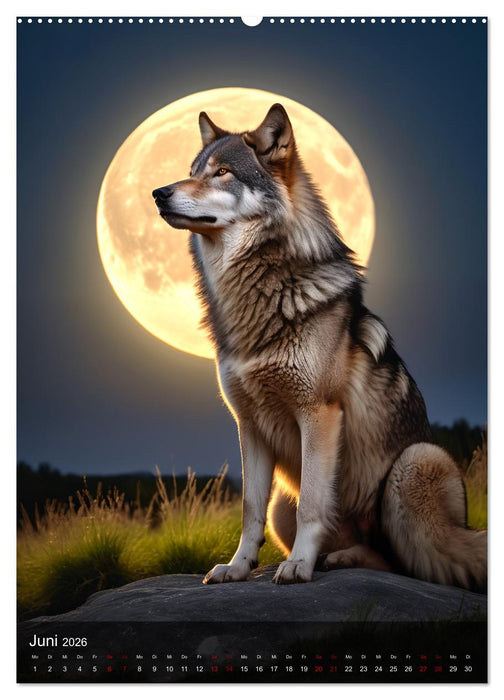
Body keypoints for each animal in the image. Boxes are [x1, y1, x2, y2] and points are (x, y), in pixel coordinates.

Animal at [152, 104, 487, 590]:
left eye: (223, 173)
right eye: (192, 171)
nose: (158, 193)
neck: (256, 297)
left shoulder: (319, 412)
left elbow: (313, 503)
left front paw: (297, 566)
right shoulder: (249, 425)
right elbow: (249, 511)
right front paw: (238, 567)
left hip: (413, 464)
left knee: (406, 562)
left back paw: (337, 559)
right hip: (282, 502)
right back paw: (337, 557)